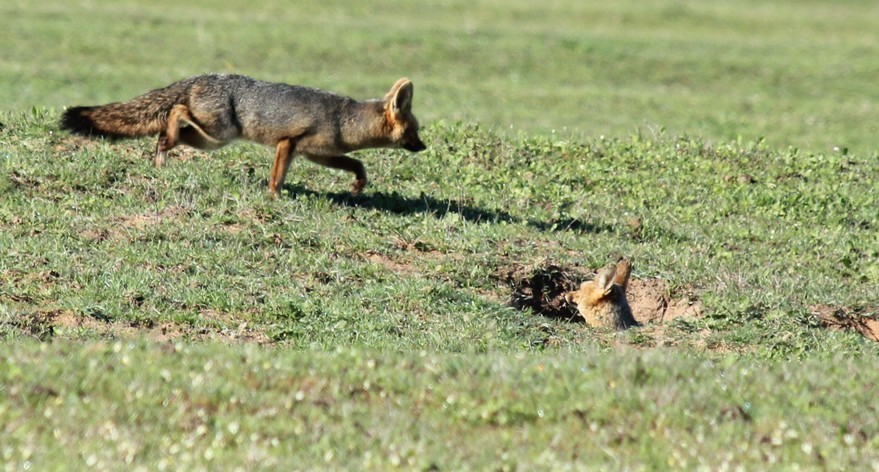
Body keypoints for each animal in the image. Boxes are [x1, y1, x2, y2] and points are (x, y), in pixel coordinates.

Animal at [57, 73, 426, 197]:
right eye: (416, 131)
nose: (424, 146)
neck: (344, 119)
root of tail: (201, 77)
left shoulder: (316, 153)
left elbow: (357, 164)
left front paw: (359, 183)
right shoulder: (289, 144)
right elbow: (277, 177)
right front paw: (275, 198)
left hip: (211, 140)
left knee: (167, 133)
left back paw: (162, 156)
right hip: (217, 133)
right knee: (176, 112)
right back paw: (168, 142)